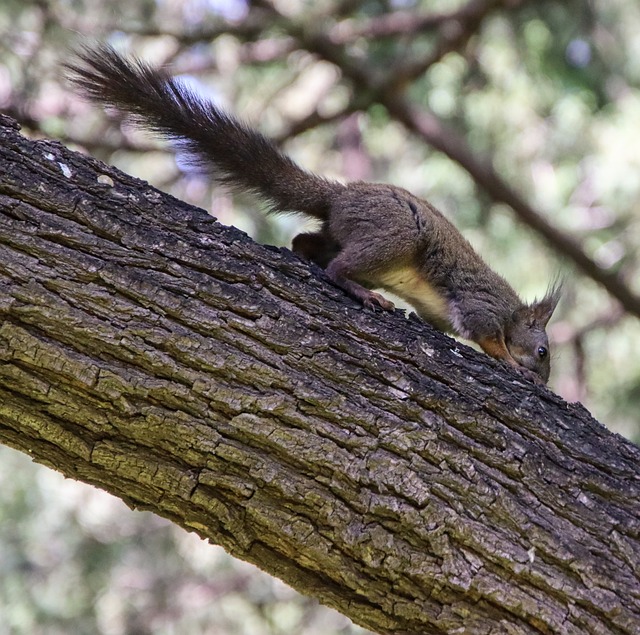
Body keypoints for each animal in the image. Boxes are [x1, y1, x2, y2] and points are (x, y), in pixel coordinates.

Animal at [67, 46, 564, 382]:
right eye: (543, 352)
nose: (544, 383)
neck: (512, 312)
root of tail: (339, 197)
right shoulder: (483, 306)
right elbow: (487, 336)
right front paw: (509, 361)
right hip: (397, 235)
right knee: (340, 267)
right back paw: (360, 292)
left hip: (352, 235)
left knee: (308, 243)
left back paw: (308, 256)